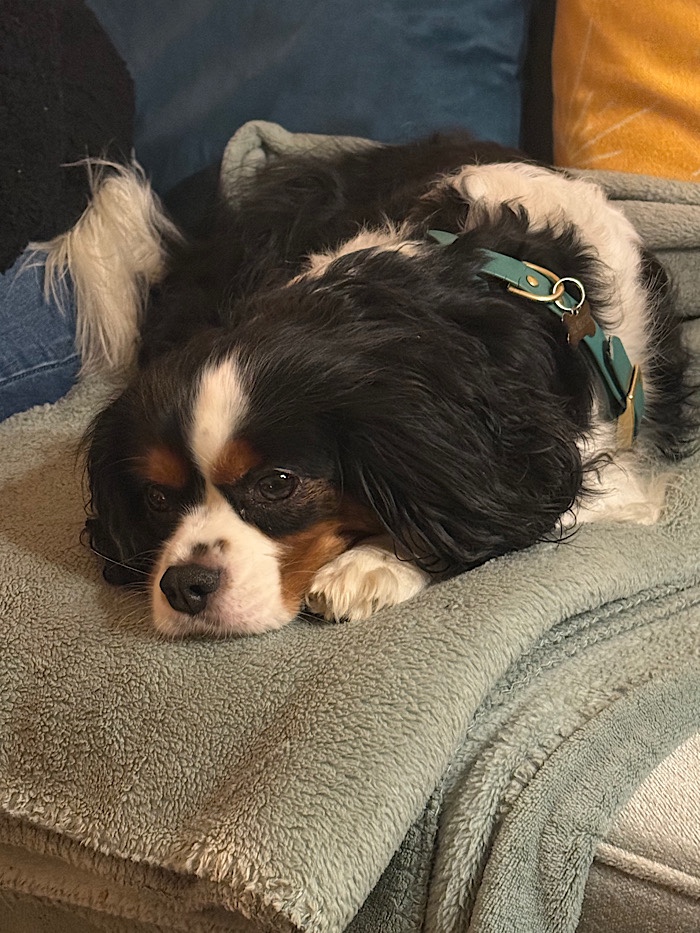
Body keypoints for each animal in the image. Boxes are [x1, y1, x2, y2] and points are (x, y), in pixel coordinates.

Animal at [43, 133, 694, 637]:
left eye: (277, 485)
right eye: (155, 499)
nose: (183, 585)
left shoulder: (591, 468)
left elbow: (497, 517)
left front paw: (370, 565)